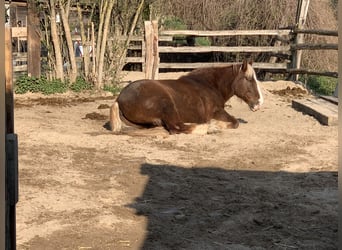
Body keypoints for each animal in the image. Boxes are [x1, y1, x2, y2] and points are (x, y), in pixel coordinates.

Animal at [111, 60, 264, 135]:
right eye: (248, 79)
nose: (258, 103)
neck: (209, 85)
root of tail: (119, 99)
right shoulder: (216, 111)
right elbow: (234, 122)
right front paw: (216, 125)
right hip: (167, 105)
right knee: (177, 128)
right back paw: (209, 129)